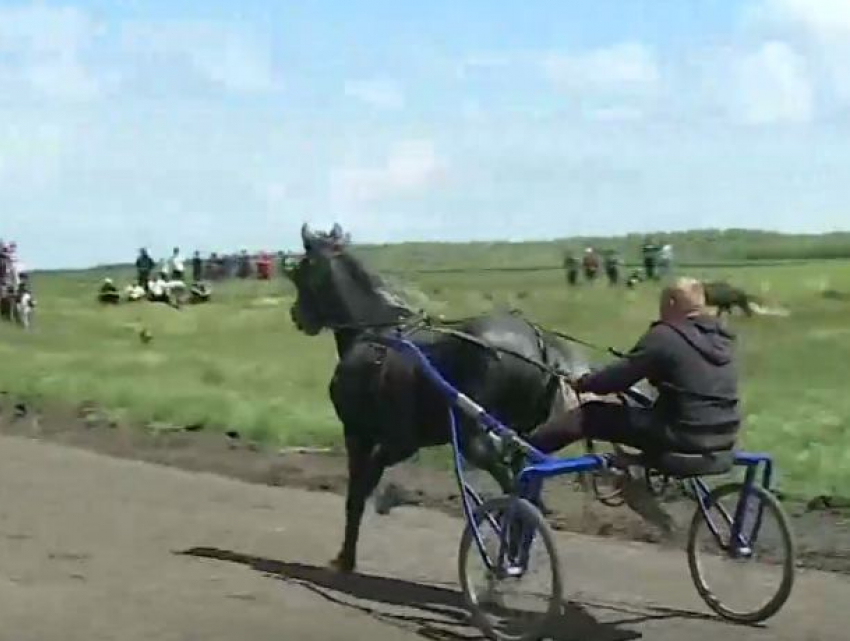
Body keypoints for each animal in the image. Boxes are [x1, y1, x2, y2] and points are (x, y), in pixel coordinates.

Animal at [284, 224, 588, 568]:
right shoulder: (399, 441)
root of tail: (539, 345)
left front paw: (347, 556)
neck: (376, 337)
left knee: (515, 492)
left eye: (300, 270)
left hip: (475, 439)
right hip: (520, 437)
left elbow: (358, 493)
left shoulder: (366, 435)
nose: (297, 315)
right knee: (525, 488)